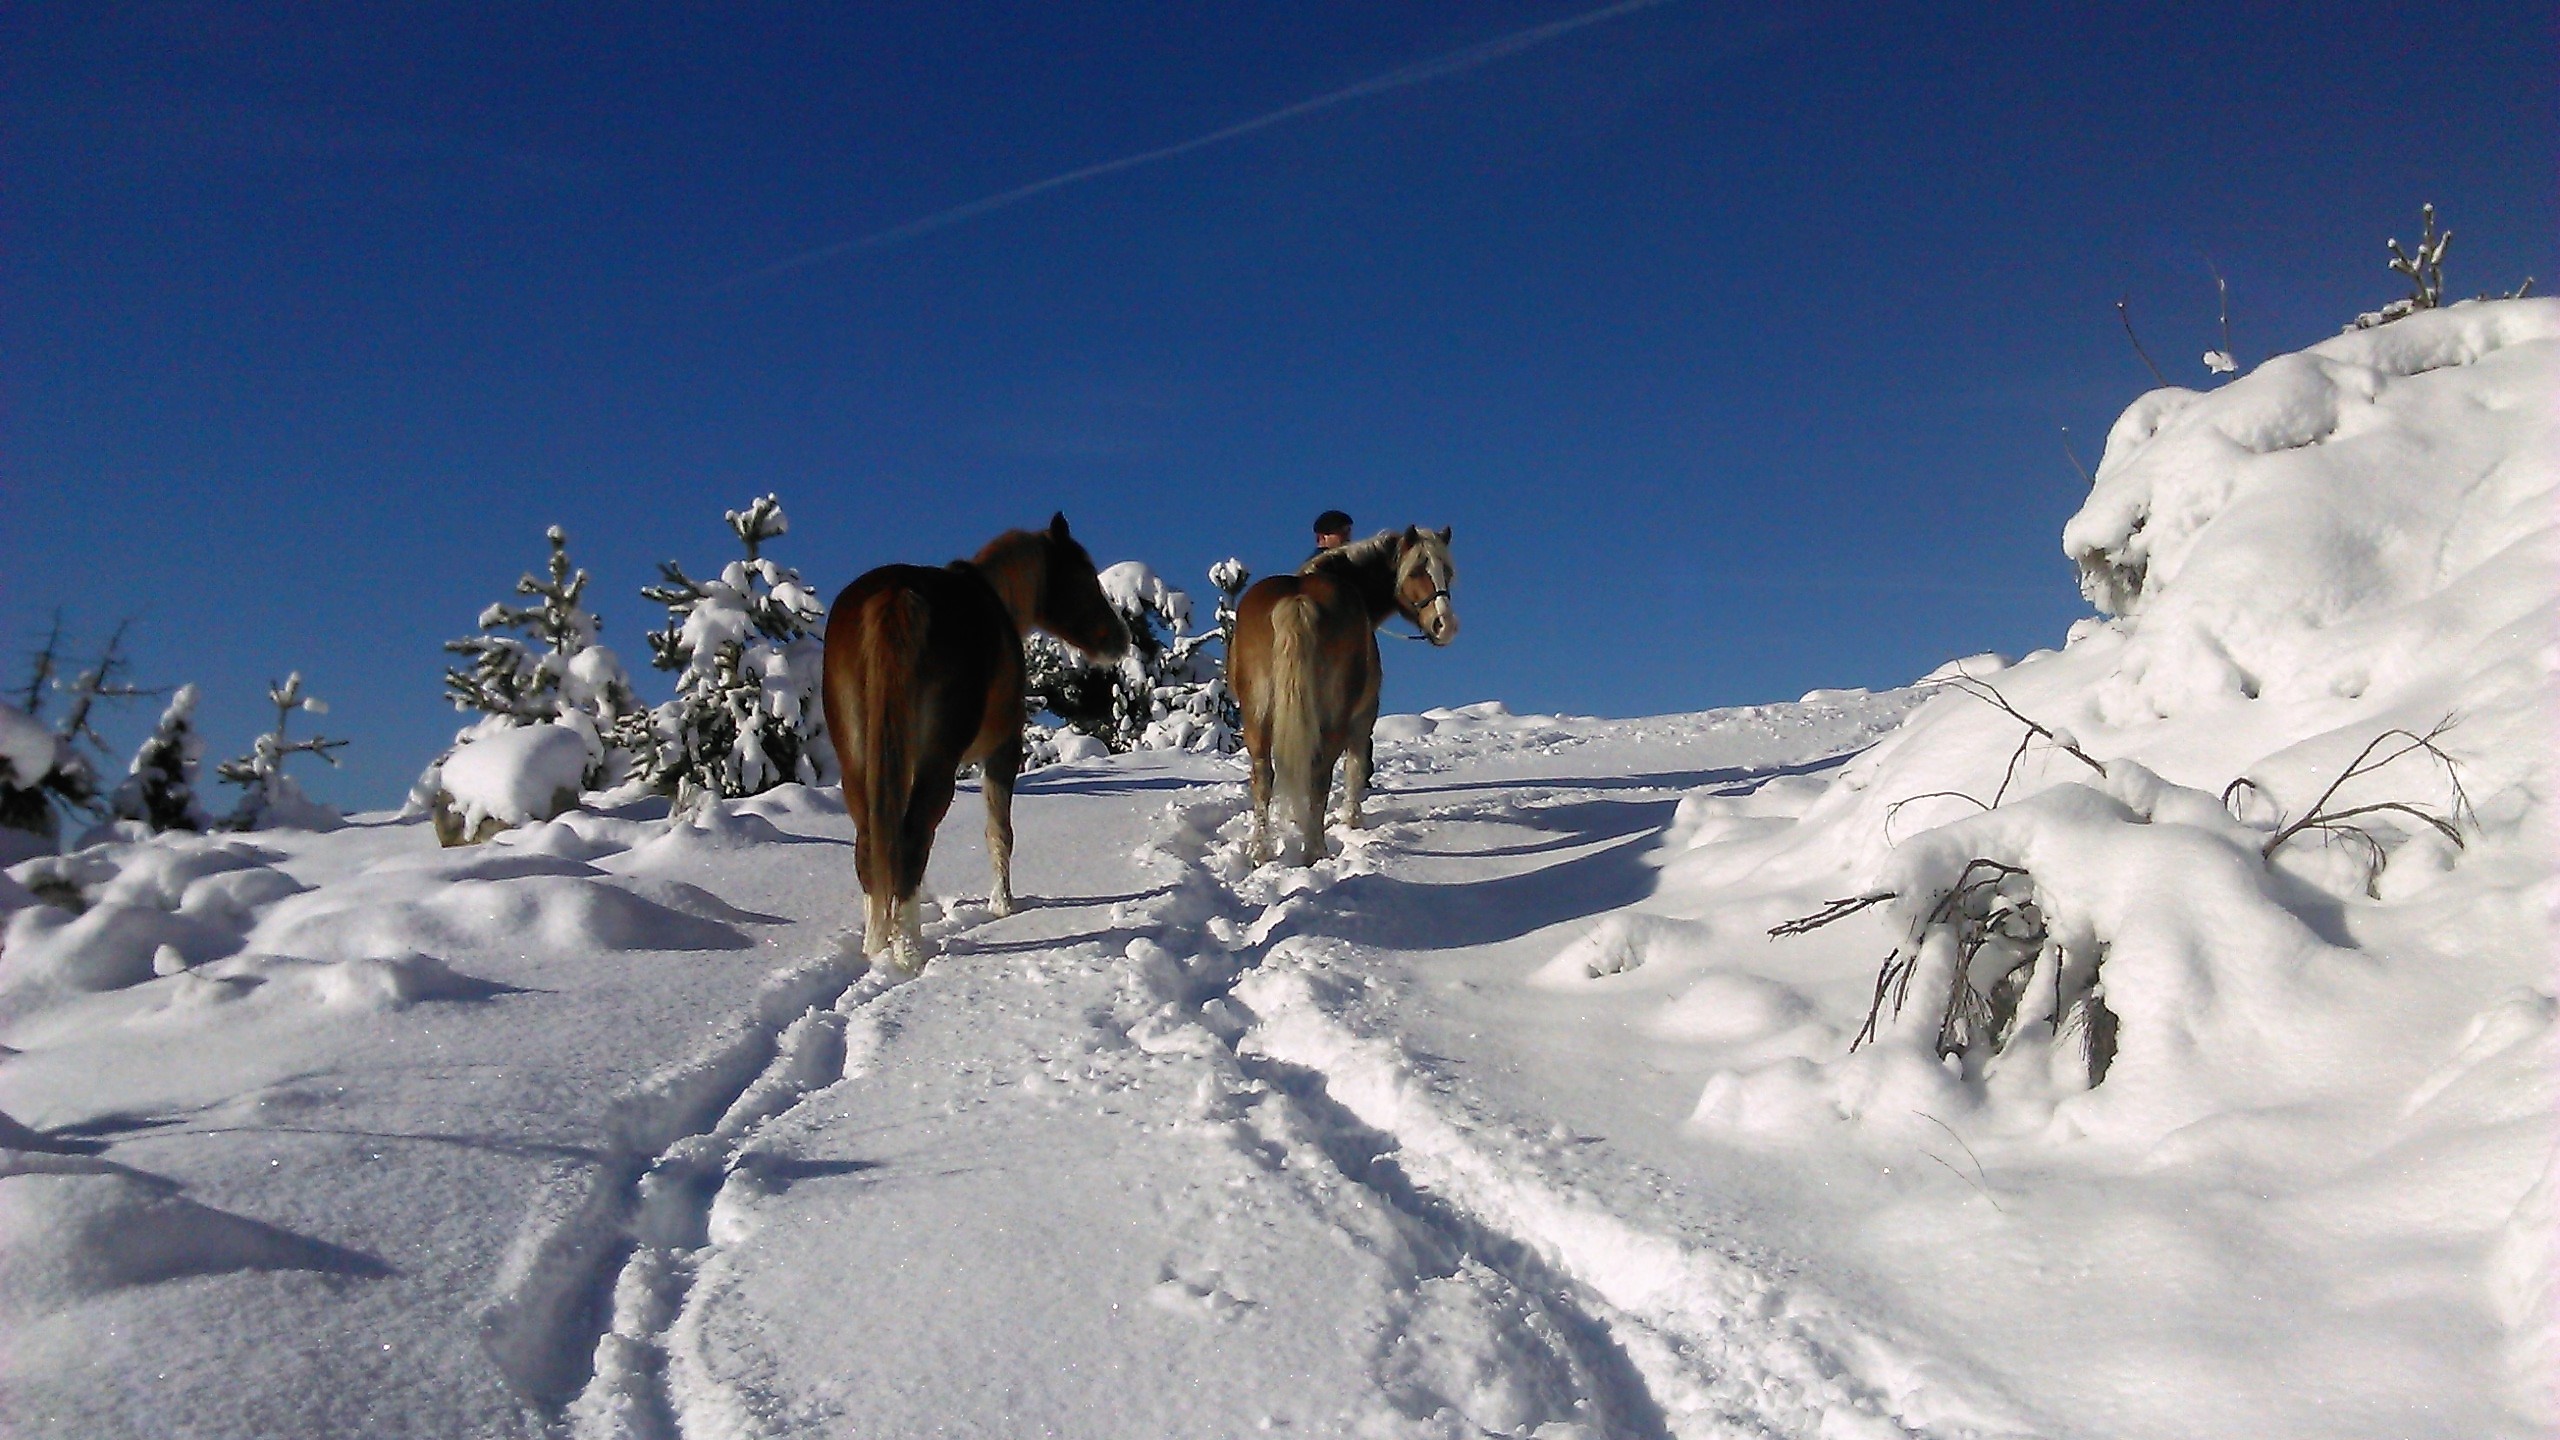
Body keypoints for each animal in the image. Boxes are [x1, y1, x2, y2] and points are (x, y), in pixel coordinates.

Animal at [824, 512, 1126, 963]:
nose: (1121, 638)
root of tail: (895, 595)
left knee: (870, 845)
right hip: (939, 760)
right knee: (912, 838)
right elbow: (999, 831)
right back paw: (908, 952)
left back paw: (877, 948)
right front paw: (1003, 904)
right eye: (1085, 574)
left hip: (859, 761)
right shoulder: (1003, 749)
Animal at [1239, 527, 1464, 860]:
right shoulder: (1363, 718)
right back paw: (1315, 850)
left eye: (1447, 573)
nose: (1445, 625)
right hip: (1335, 719)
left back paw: (1260, 851)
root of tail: (1298, 600)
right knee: (1320, 775)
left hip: (1257, 718)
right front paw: (1353, 821)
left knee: (1263, 778)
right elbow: (1356, 768)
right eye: (1415, 571)